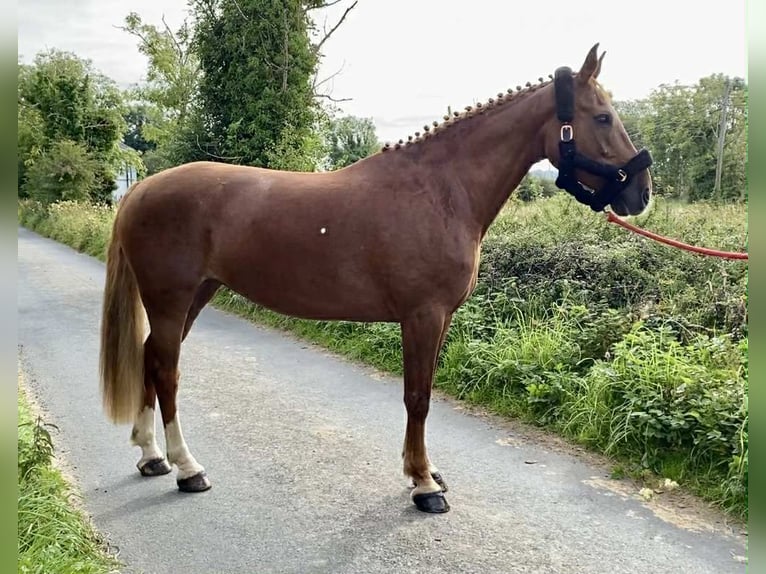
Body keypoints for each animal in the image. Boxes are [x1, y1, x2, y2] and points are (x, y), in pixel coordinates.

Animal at [99, 44, 652, 513]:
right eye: (602, 116)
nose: (642, 193)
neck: (440, 191)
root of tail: (139, 190)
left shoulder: (438, 318)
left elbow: (422, 394)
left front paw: (423, 472)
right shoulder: (422, 316)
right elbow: (418, 397)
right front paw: (425, 485)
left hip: (196, 295)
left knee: (151, 359)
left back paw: (152, 456)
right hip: (172, 298)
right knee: (167, 371)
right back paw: (187, 469)